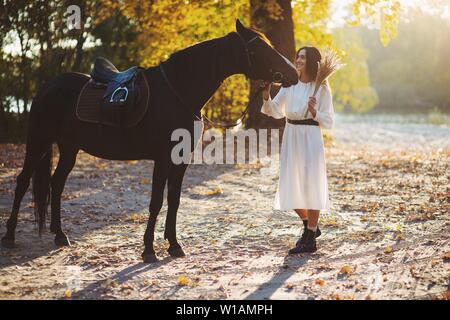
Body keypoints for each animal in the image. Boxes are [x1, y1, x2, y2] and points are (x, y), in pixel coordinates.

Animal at [2, 19, 298, 262]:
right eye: (259, 48)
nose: (293, 73)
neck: (178, 92)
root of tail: (46, 87)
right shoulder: (162, 158)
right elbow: (156, 201)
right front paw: (148, 250)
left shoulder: (181, 160)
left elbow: (174, 200)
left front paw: (174, 245)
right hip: (38, 143)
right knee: (23, 181)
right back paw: (10, 236)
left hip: (69, 148)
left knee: (56, 183)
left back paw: (59, 234)